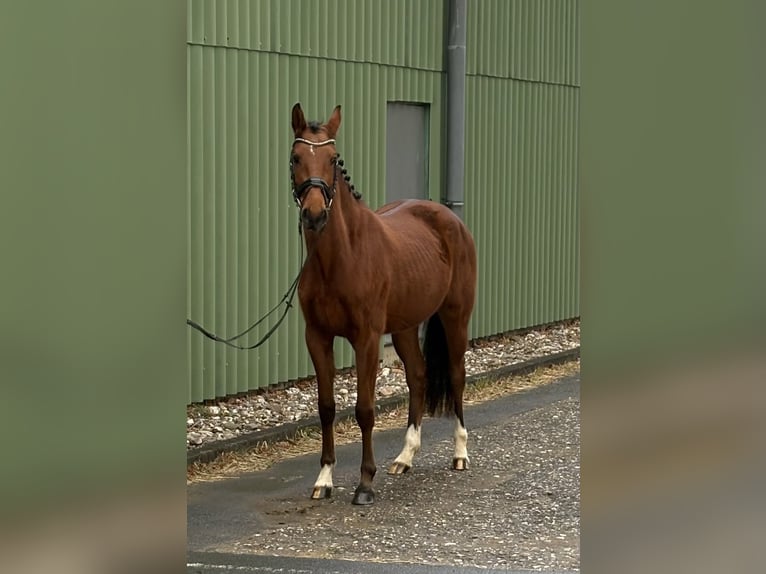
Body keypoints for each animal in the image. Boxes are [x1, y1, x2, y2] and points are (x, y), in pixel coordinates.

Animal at [292, 104, 476, 508]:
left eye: (332, 159)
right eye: (296, 157)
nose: (314, 214)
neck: (340, 258)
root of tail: (450, 218)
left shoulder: (367, 339)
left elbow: (365, 409)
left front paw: (365, 484)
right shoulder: (316, 337)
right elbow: (326, 408)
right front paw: (324, 479)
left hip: (455, 316)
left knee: (457, 375)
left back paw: (460, 454)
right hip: (405, 326)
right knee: (418, 376)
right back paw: (405, 458)